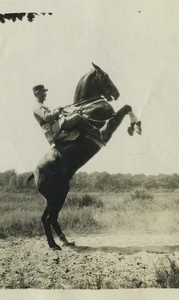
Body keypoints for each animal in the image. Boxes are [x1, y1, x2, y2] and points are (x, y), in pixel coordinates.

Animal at [32, 62, 141, 250]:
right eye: (105, 76)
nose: (117, 93)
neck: (87, 107)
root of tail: (35, 173)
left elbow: (127, 107)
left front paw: (134, 126)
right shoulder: (110, 123)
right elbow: (126, 107)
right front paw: (135, 126)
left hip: (58, 195)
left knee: (51, 217)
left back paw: (65, 241)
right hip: (57, 195)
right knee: (47, 218)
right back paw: (54, 245)